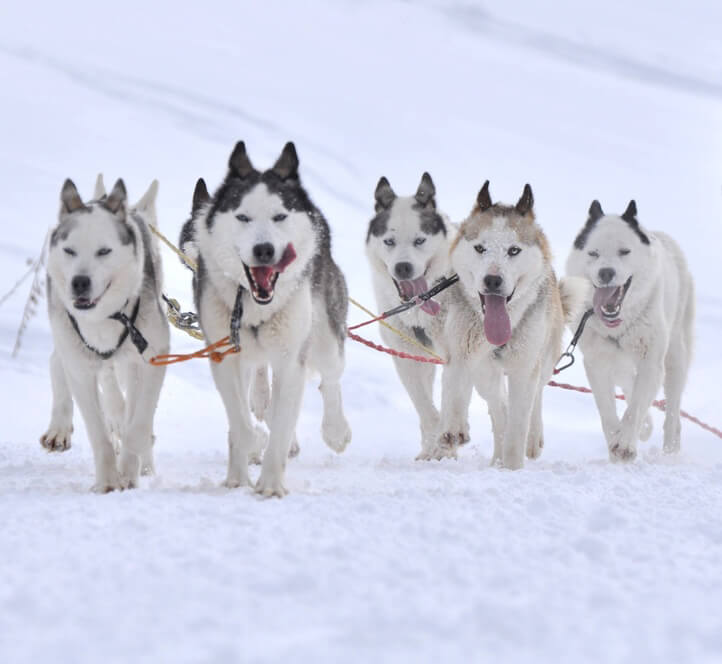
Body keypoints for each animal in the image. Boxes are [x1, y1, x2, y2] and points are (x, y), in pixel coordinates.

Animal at [43, 175, 169, 488]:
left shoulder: (152, 356)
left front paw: (129, 470)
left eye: (104, 251)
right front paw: (108, 483)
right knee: (57, 362)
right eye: (70, 250)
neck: (105, 316)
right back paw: (60, 426)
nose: (79, 282)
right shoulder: (81, 365)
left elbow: (138, 422)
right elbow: (99, 432)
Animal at [190, 140, 350, 496]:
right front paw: (247, 454)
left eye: (279, 216)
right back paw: (237, 473)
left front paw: (271, 485)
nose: (264, 250)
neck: (254, 306)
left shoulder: (291, 359)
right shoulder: (224, 356)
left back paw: (336, 430)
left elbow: (280, 425)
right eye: (243, 217)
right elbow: (239, 418)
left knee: (330, 380)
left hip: (324, 336)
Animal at [366, 174, 456, 460]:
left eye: (419, 240)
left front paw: (444, 447)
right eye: (389, 241)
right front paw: (433, 446)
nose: (403, 267)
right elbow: (425, 407)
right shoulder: (406, 354)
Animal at [434, 183, 584, 466]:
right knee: (499, 406)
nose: (493, 280)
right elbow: (456, 389)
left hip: (543, 359)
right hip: (486, 374)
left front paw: (513, 467)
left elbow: (518, 427)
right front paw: (454, 429)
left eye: (513, 250)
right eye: (480, 248)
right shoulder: (460, 353)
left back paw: (530, 441)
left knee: (535, 397)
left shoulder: (524, 369)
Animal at [564, 200, 692, 462]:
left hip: (675, 356)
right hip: (620, 362)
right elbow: (608, 411)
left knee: (672, 411)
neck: (618, 325)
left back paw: (670, 450)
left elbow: (636, 407)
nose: (606, 272)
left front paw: (625, 444)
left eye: (624, 251)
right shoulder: (597, 364)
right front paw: (617, 439)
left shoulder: (651, 362)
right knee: (629, 384)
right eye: (593, 253)